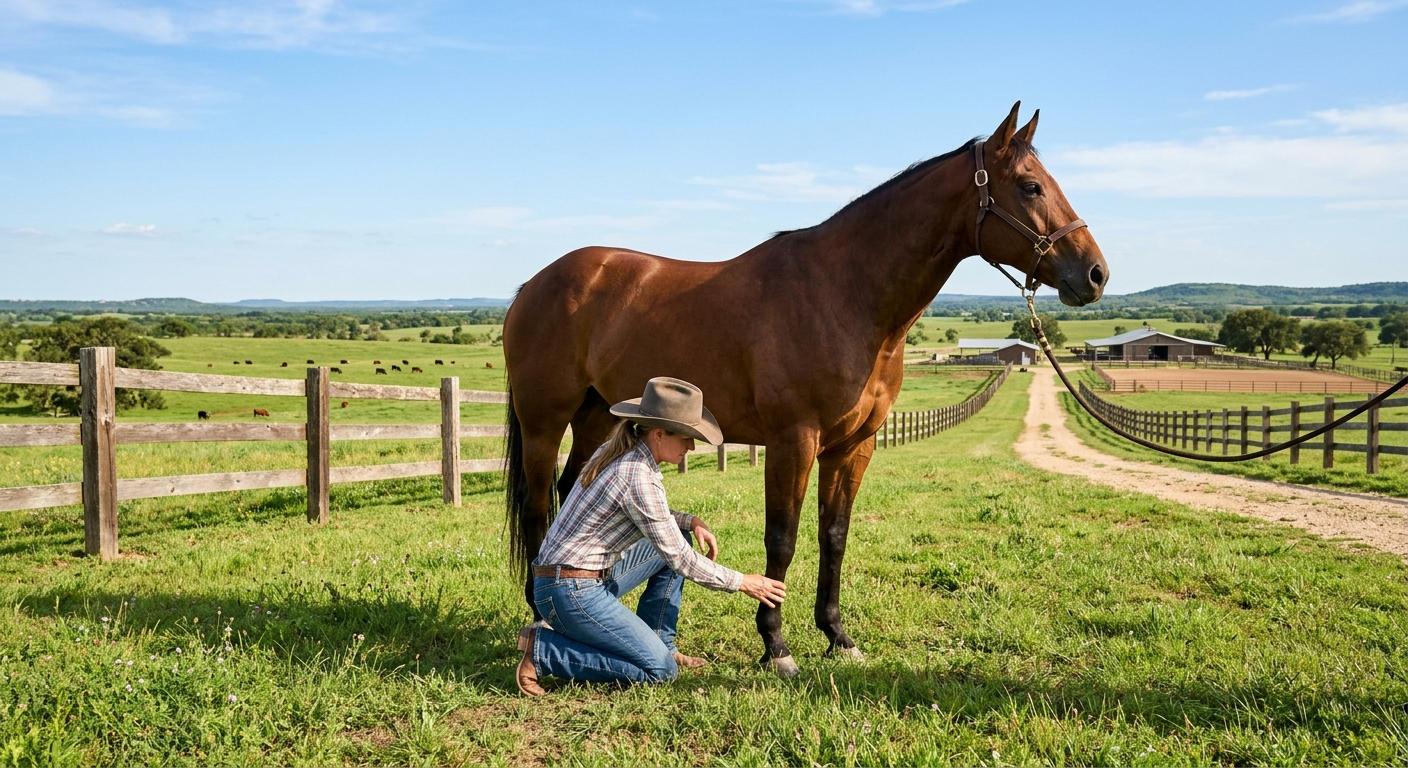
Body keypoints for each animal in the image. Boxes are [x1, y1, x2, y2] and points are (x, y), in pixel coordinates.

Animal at [503, 103, 1107, 676]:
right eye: (1030, 186)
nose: (1096, 274)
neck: (844, 294)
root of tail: (534, 283)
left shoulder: (852, 446)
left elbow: (833, 535)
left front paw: (837, 636)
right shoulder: (793, 441)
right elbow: (783, 538)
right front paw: (775, 645)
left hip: (597, 416)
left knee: (571, 489)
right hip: (544, 420)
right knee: (538, 506)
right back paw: (538, 609)